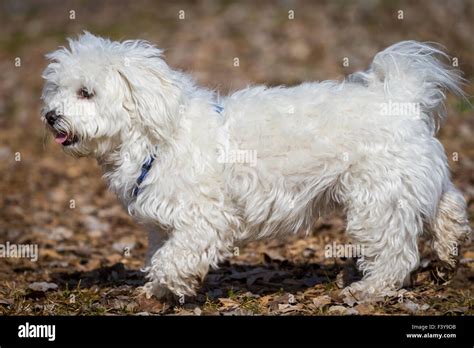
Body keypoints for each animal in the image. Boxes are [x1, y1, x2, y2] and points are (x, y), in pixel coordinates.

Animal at [41, 32, 470, 300]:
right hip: (411, 181)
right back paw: (450, 251)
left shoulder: (204, 219)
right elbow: (159, 254)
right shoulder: (162, 224)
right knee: (449, 205)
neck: (156, 136)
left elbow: (172, 259)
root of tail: (401, 97)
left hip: (378, 198)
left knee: (395, 251)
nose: (50, 115)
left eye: (86, 93)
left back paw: (371, 289)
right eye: (57, 89)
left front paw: (169, 286)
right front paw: (155, 290)